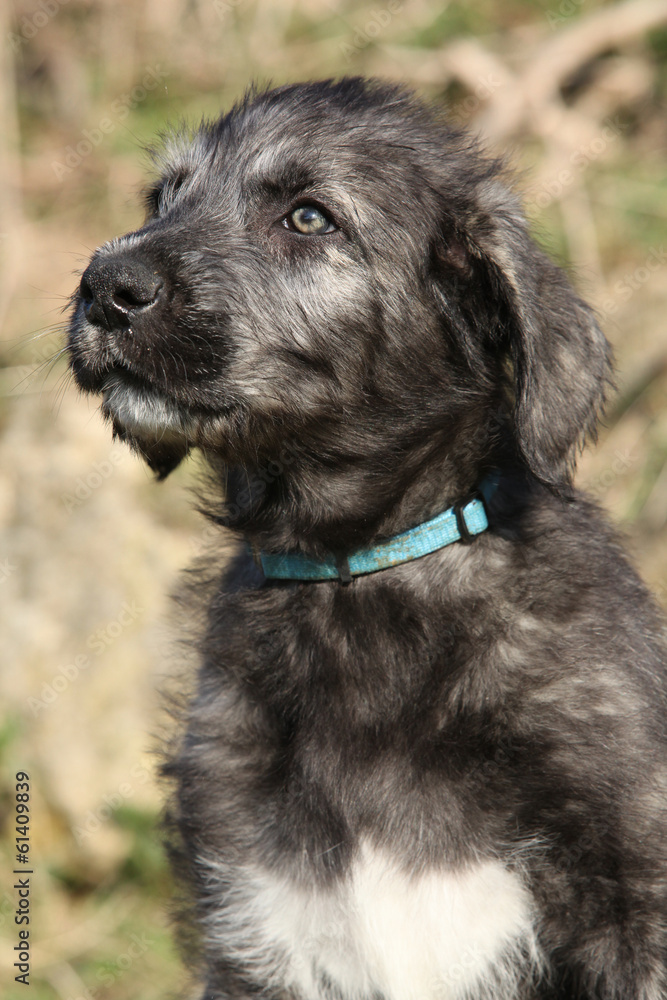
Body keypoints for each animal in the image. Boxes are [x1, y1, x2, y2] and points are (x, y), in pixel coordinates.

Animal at [66, 78, 667, 1000]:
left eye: (309, 218)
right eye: (165, 198)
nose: (104, 286)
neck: (355, 577)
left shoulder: (634, 900)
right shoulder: (257, 922)